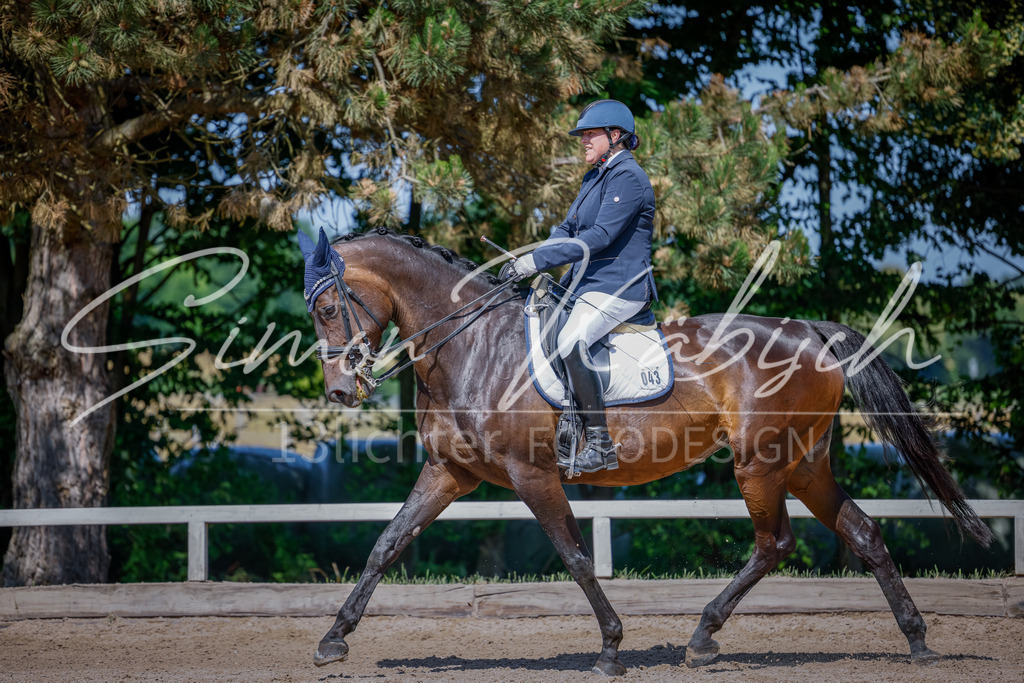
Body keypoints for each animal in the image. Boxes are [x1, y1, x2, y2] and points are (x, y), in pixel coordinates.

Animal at [304, 227, 992, 676]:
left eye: (330, 306)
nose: (340, 390)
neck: (471, 344)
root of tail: (807, 332)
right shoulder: (449, 472)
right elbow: (387, 544)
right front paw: (334, 640)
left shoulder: (532, 475)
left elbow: (577, 558)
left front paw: (610, 647)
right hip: (802, 463)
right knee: (864, 532)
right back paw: (917, 641)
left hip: (761, 462)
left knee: (775, 544)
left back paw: (703, 637)